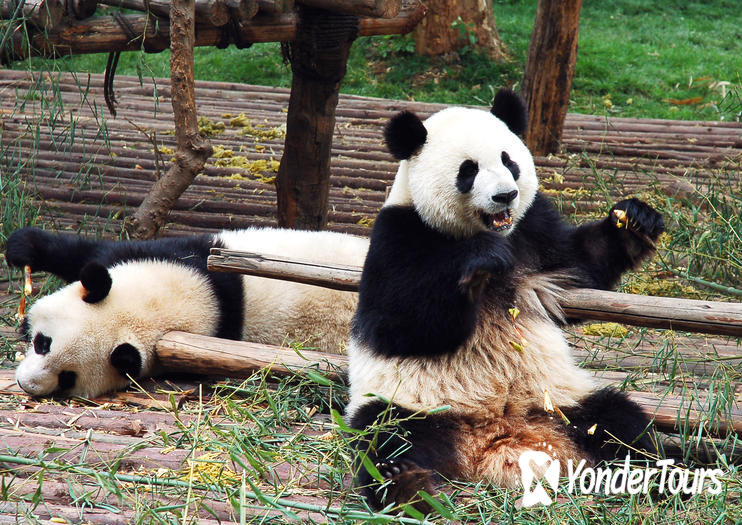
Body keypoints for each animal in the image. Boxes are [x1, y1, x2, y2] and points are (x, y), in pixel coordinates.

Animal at [3, 226, 370, 398]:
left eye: (67, 376)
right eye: (43, 343)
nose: (26, 385)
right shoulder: (180, 252)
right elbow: (87, 255)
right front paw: (22, 248)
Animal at [348, 89, 668, 508]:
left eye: (509, 161)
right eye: (468, 170)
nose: (505, 196)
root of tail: (498, 436)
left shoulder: (534, 229)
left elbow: (583, 264)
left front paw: (634, 220)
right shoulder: (398, 235)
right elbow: (397, 324)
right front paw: (480, 262)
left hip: (561, 402)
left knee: (621, 423)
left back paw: (657, 476)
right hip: (413, 402)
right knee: (386, 434)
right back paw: (405, 483)